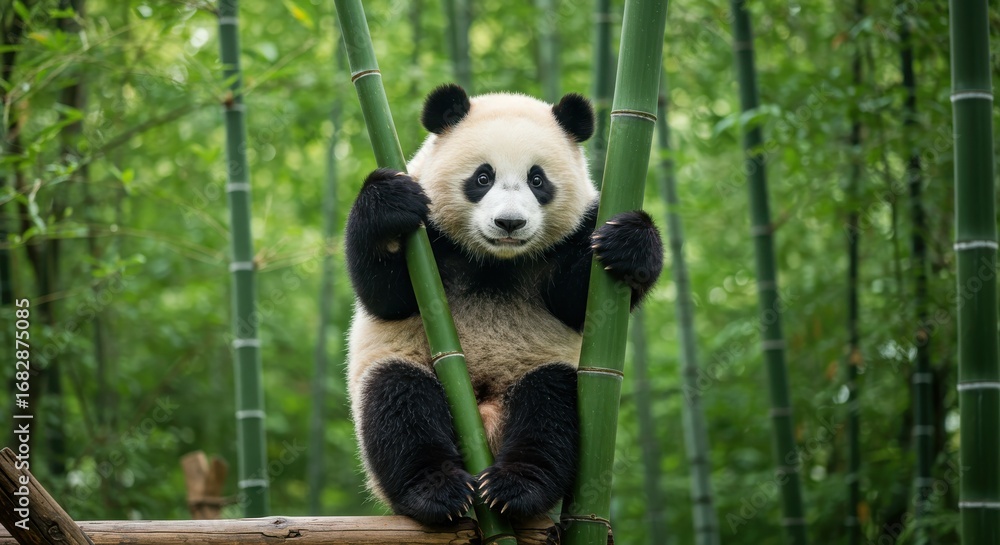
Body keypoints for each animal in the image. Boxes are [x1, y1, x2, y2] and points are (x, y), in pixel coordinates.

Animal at [345, 83, 663, 525]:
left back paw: (515, 488)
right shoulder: (427, 239)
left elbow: (578, 300)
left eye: (537, 180)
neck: (496, 260)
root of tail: (483, 428)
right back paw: (436, 492)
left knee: (550, 406)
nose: (509, 224)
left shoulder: (579, 232)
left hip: (538, 373)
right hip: (402, 373)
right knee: (397, 401)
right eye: (483, 177)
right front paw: (388, 203)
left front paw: (630, 242)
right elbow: (387, 295)